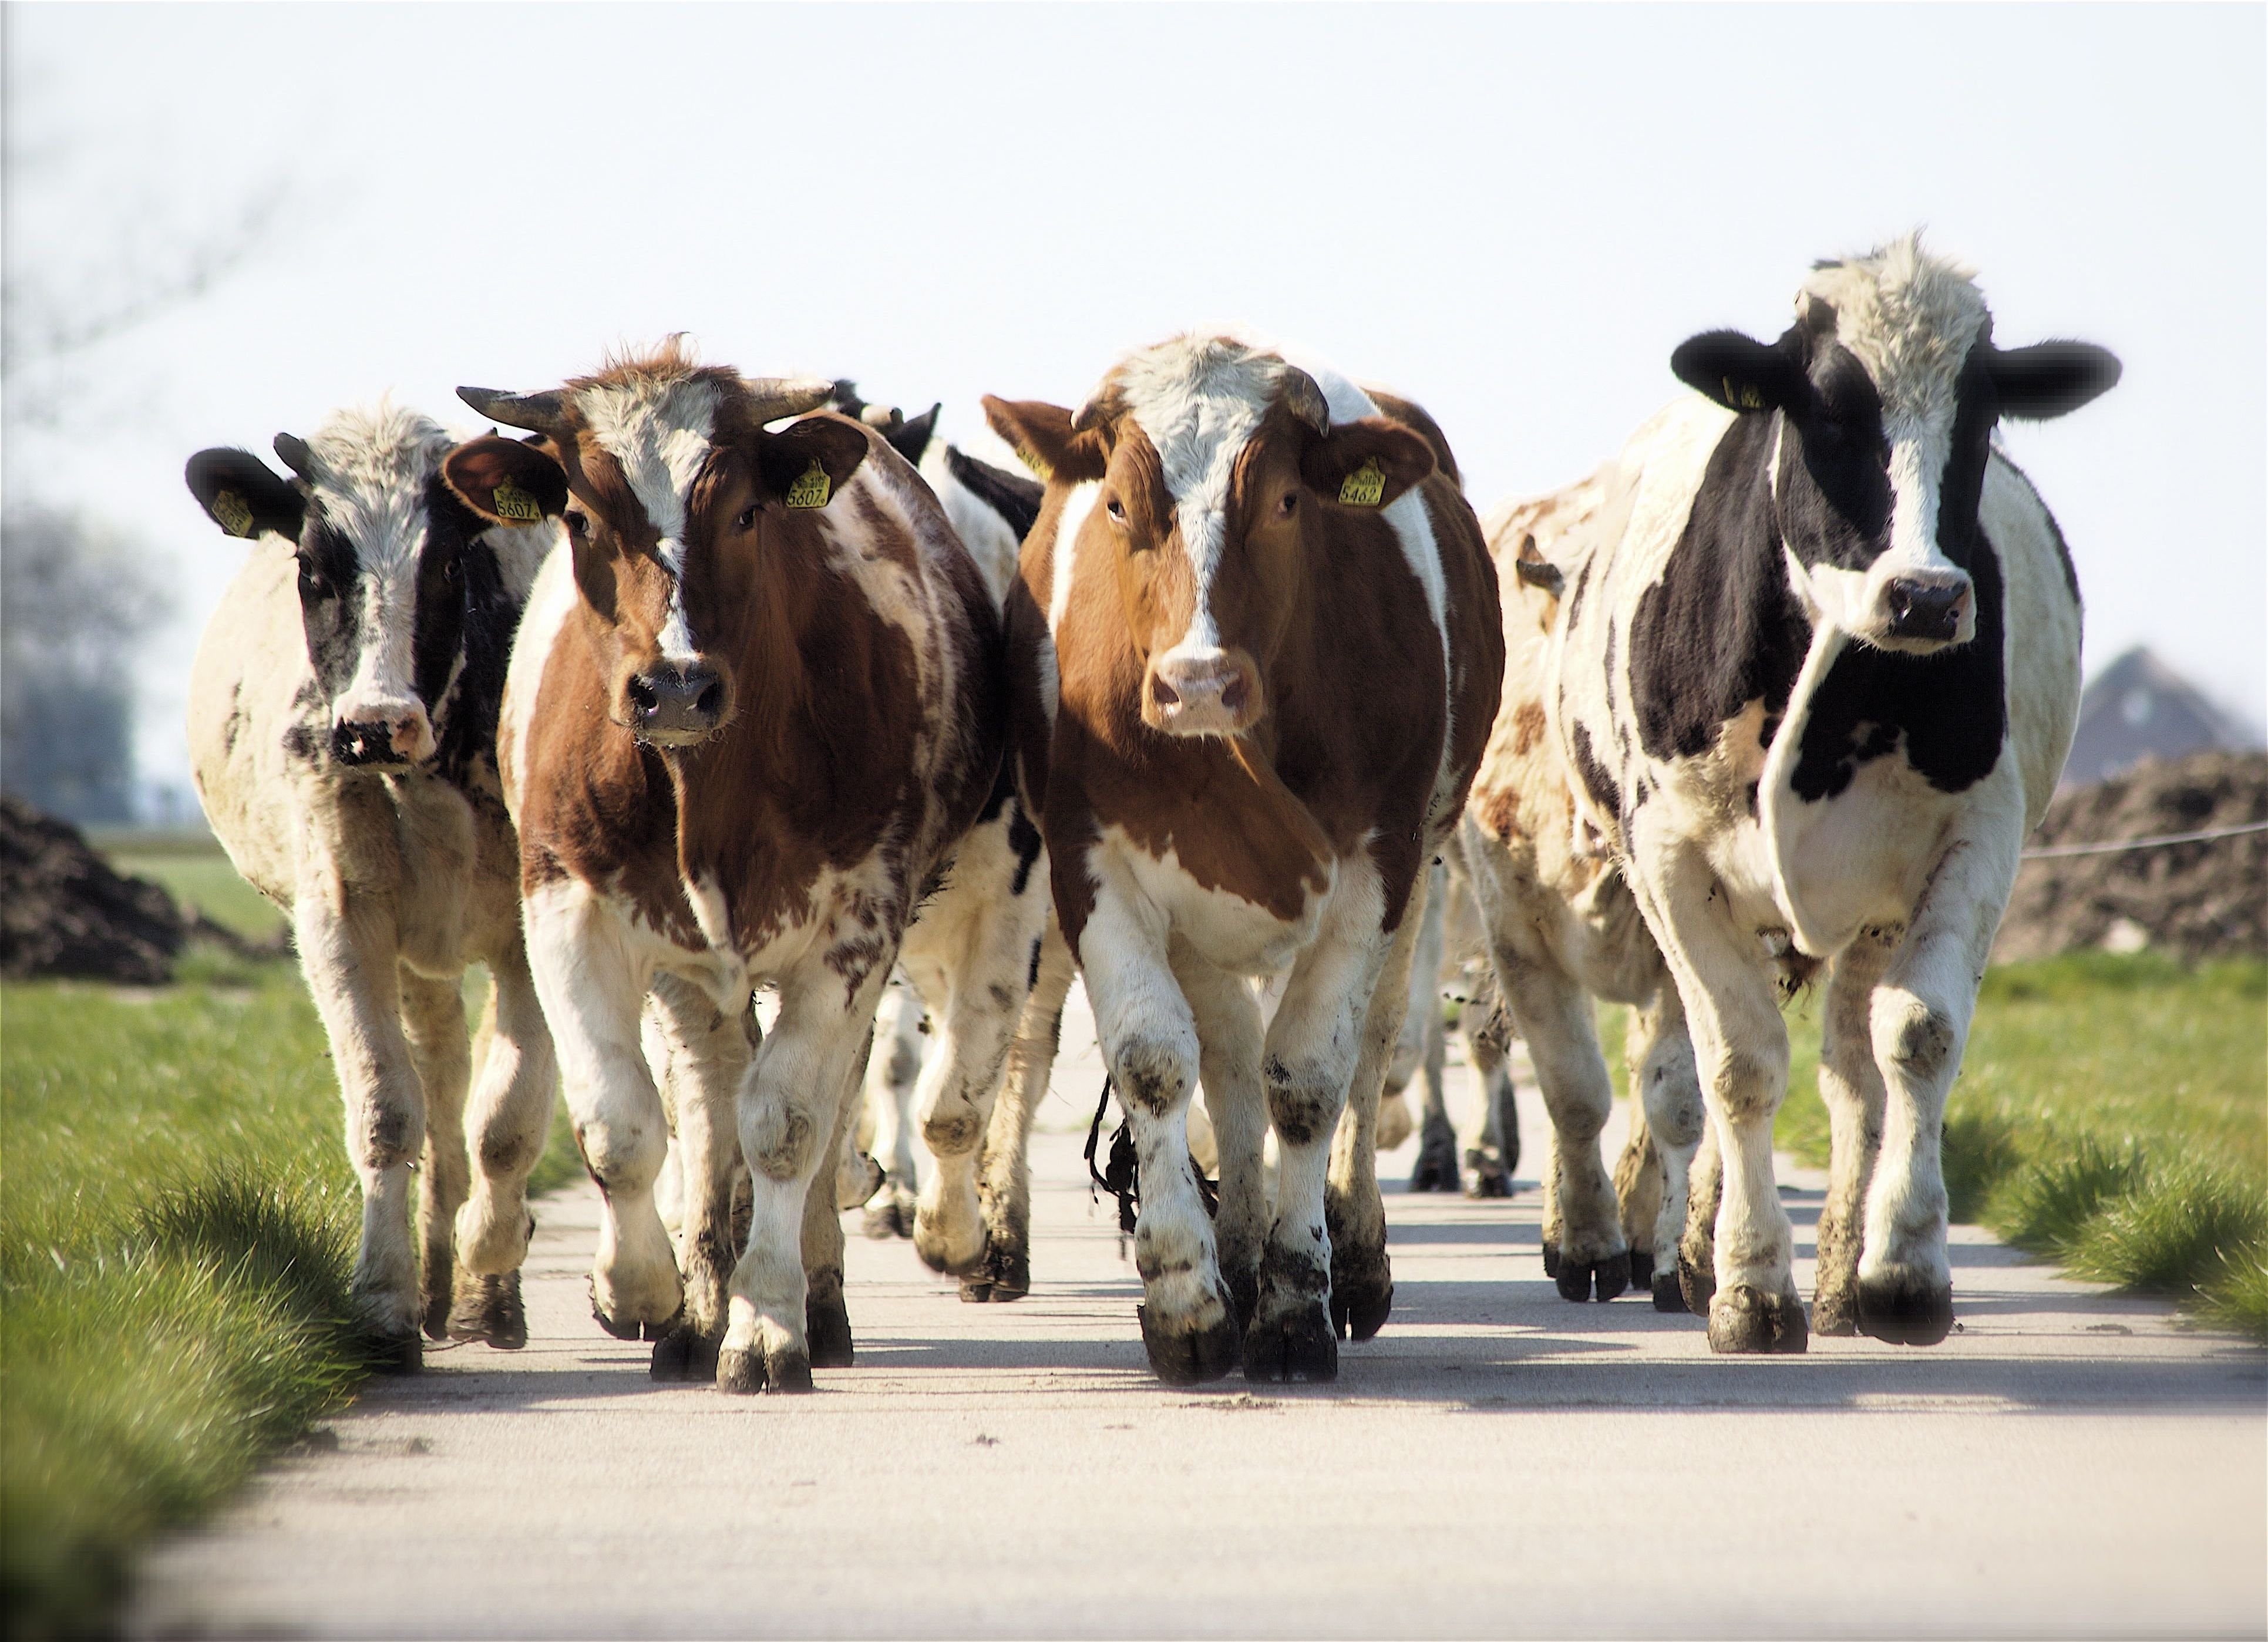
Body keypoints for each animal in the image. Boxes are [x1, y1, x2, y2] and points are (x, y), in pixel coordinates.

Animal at [181, 403, 562, 1370]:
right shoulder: (341, 923)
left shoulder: (532, 930)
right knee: (441, 1079)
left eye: (450, 564)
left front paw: (492, 1262)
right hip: (418, 956)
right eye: (314, 570)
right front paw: (385, 1303)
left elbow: (509, 1118)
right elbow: (391, 1110)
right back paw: (435, 1283)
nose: (375, 724)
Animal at [460, 342, 1029, 1388]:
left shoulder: (855, 928)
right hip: (690, 976)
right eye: (580, 518)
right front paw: (640, 1292)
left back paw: (814, 1293)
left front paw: (767, 1324)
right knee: (705, 1097)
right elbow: (622, 1124)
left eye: (745, 512)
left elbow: (789, 1126)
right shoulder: (566, 910)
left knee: (810, 1107)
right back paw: (696, 1302)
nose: (676, 686)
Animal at [993, 335, 1506, 1388]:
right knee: (1227, 1060)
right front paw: (1186, 1301)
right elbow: (1157, 1063)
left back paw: (1352, 1257)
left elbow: (1307, 1078)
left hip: (1421, 874)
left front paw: (1296, 1305)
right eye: (1117, 504)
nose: (1196, 683)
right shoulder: (1093, 859)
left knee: (1370, 1050)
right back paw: (1232, 1249)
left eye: (1285, 501)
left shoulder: (1377, 862)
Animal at [1551, 237, 2114, 1351]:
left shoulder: (1976, 836)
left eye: (1981, 419)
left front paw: (1903, 1271)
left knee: (1854, 1072)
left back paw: (1845, 1275)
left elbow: (1916, 1035)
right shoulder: (1668, 860)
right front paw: (1745, 1285)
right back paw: (1698, 1252)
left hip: (1871, 912)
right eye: (1825, 413)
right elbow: (1734, 1065)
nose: (1926, 595)